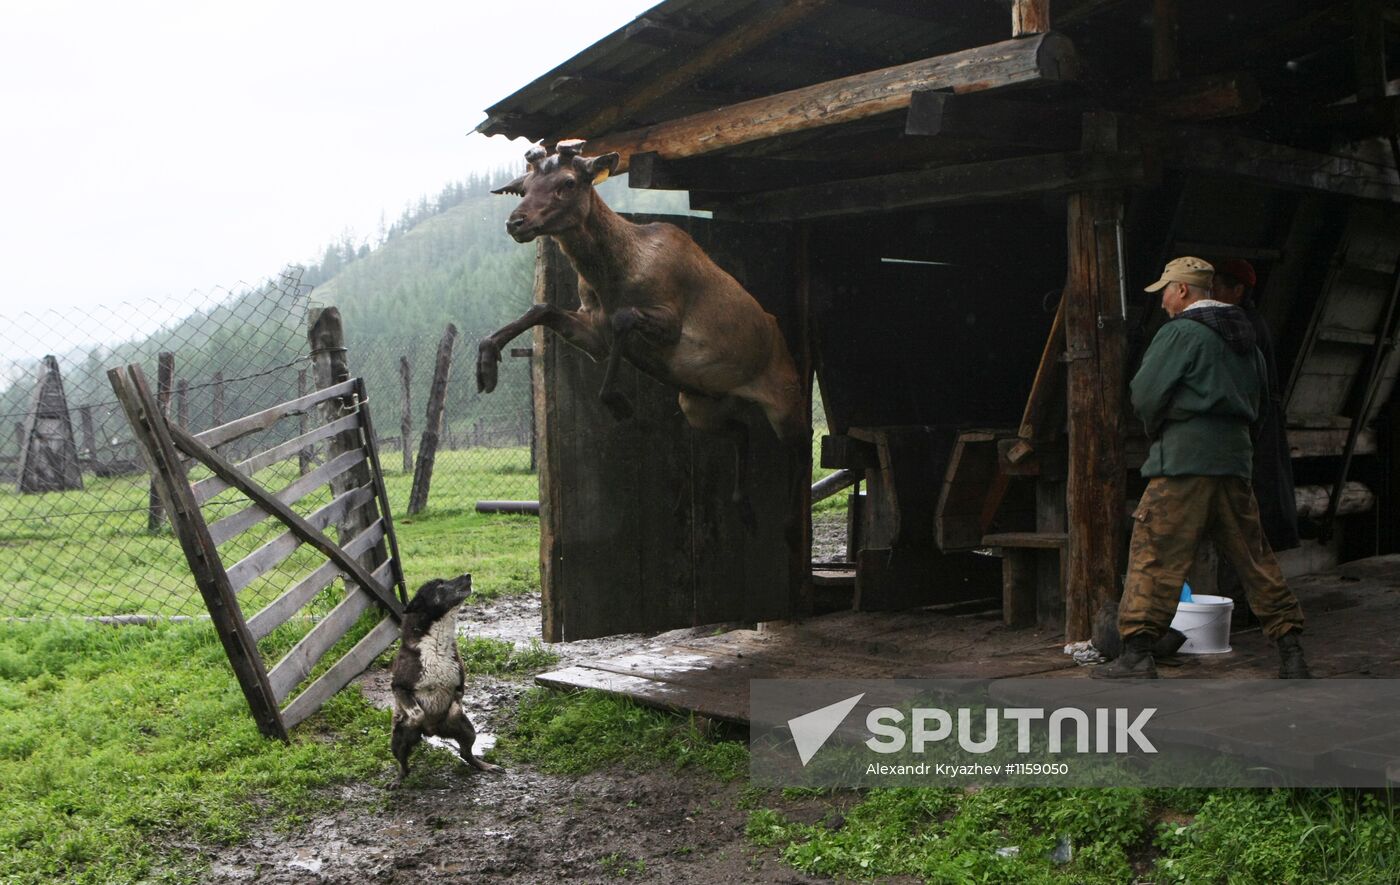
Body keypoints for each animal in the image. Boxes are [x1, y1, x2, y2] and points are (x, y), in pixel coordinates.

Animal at [476, 141, 806, 506]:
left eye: (568, 182)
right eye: (524, 188)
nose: (516, 222)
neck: (612, 280)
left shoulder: (671, 319)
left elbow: (624, 318)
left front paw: (615, 399)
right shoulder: (595, 332)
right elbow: (542, 308)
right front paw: (486, 365)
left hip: (786, 399)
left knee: (802, 446)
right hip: (699, 405)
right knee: (742, 431)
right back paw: (739, 498)